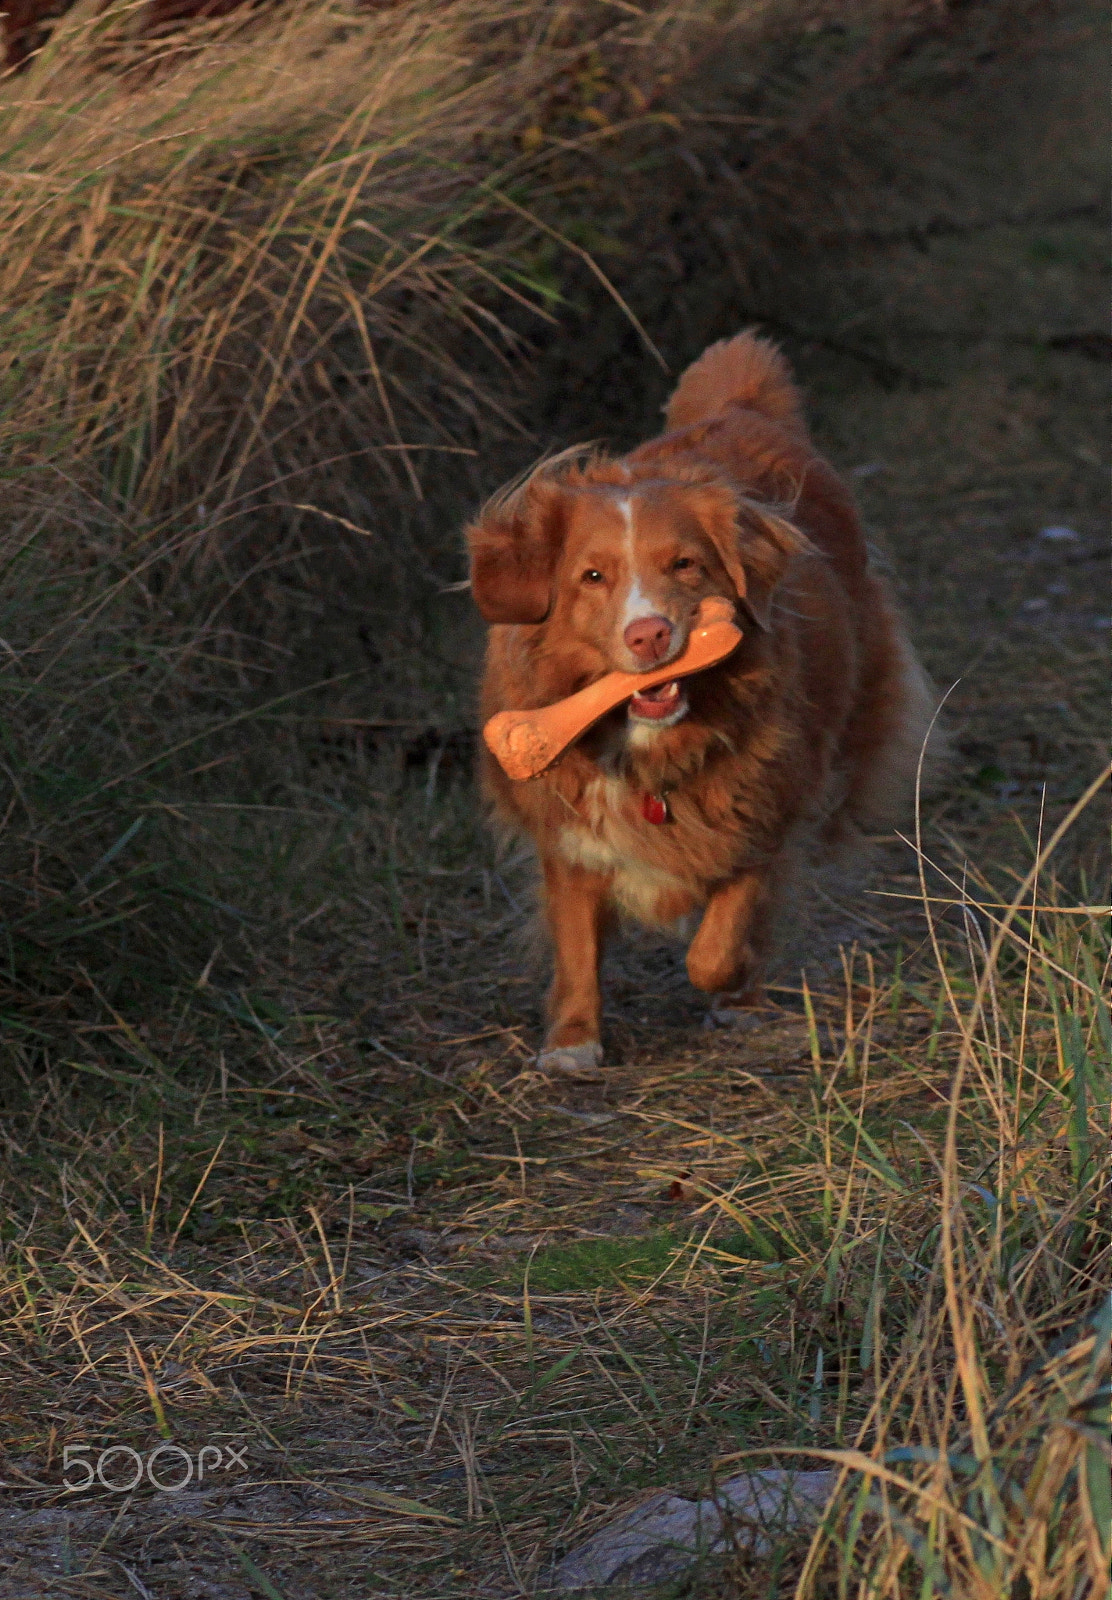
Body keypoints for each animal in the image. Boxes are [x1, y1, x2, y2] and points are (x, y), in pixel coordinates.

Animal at [464, 328, 934, 1075]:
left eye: (686, 564)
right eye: (592, 577)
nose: (650, 633)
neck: (650, 743)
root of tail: (740, 405)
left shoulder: (763, 807)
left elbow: (721, 938)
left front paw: (731, 992)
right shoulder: (568, 823)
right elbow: (576, 941)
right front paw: (572, 1042)